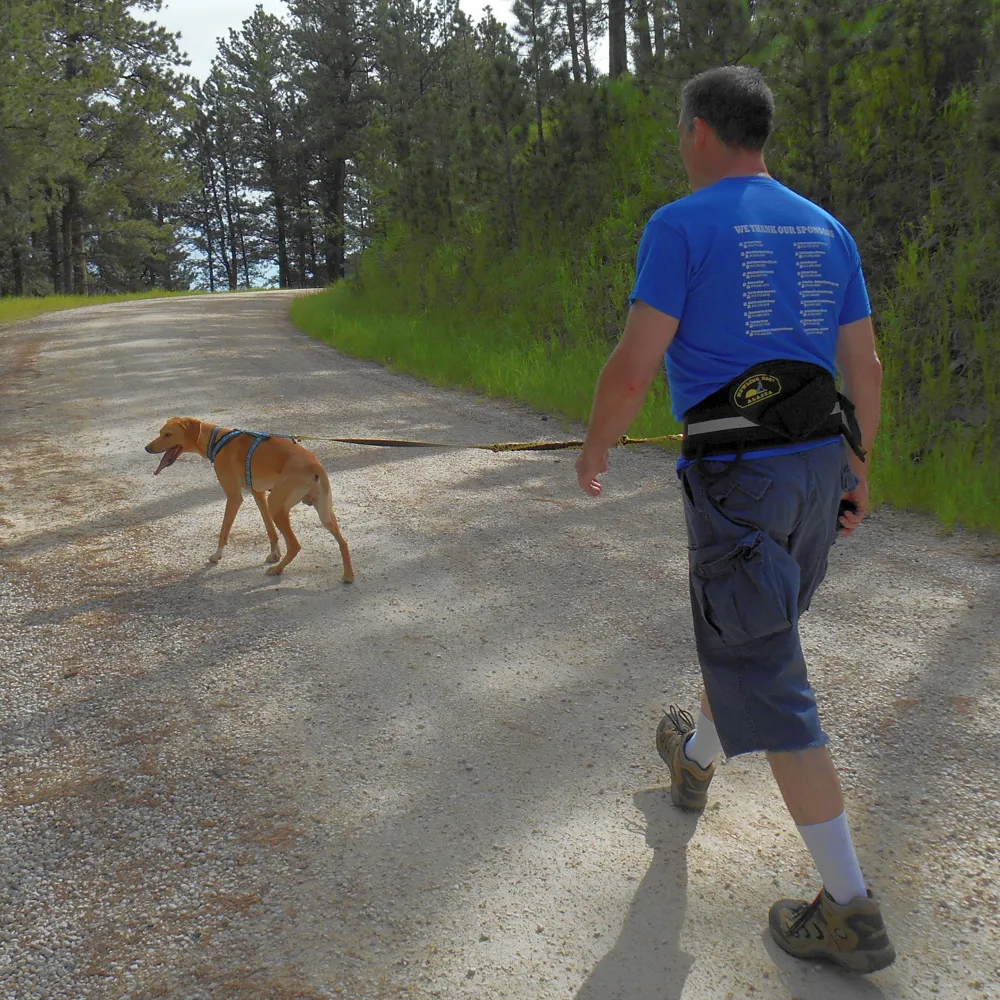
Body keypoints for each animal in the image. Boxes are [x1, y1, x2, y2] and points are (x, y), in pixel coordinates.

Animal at [145, 416, 356, 584]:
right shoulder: (258, 494)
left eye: (168, 434)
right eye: (161, 433)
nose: (147, 448)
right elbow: (270, 529)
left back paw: (278, 570)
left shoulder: (234, 497)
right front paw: (274, 554)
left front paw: (217, 555)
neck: (217, 440)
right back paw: (348, 575)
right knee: (343, 541)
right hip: (321, 512)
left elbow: (224, 530)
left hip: (277, 506)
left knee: (295, 545)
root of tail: (315, 466)